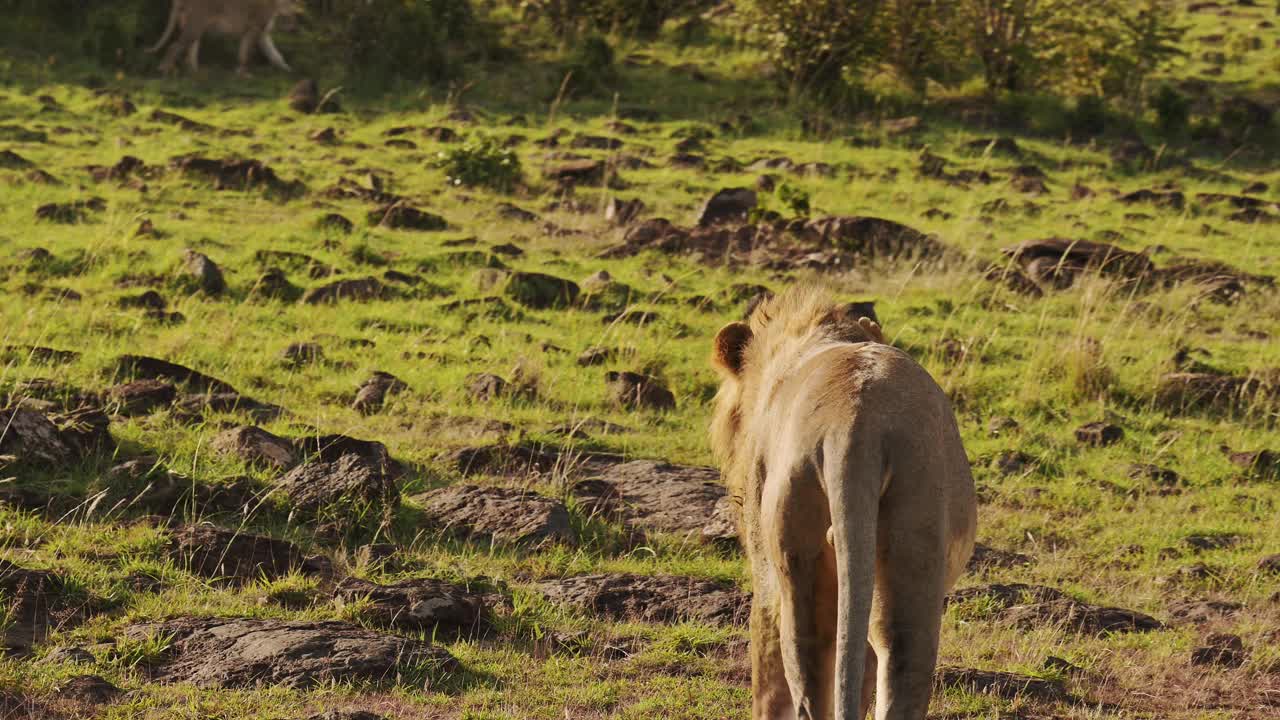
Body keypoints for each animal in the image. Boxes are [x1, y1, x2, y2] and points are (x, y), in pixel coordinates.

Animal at [148, 0, 298, 76]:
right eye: (289, 18)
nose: (293, 28)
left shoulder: (261, 34)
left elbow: (275, 55)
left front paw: (287, 70)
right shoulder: (254, 29)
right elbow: (245, 54)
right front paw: (243, 73)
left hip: (193, 26)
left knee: (191, 49)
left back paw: (195, 72)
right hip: (195, 25)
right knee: (174, 46)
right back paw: (165, 70)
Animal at [716, 286, 972, 717]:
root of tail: (854, 424)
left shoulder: (765, 576)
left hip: (795, 545)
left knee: (805, 671)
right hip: (914, 538)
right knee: (898, 659)